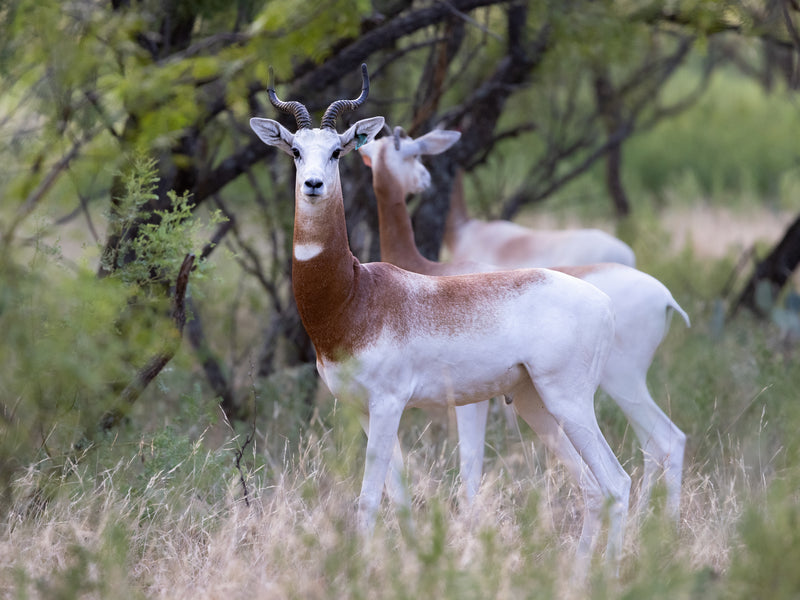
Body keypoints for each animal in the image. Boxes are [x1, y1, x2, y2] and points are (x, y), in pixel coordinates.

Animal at [249, 65, 630, 572]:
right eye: (295, 150)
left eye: (336, 150)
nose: (313, 185)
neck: (355, 294)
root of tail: (604, 302)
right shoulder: (365, 410)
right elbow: (399, 495)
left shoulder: (388, 404)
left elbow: (368, 499)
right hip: (534, 403)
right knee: (590, 487)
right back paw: (578, 573)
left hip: (569, 401)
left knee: (617, 482)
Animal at [359, 126, 690, 518]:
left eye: (414, 153)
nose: (423, 182)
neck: (431, 272)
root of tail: (664, 296)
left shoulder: (471, 402)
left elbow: (470, 467)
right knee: (656, 443)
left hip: (621, 382)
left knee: (665, 440)